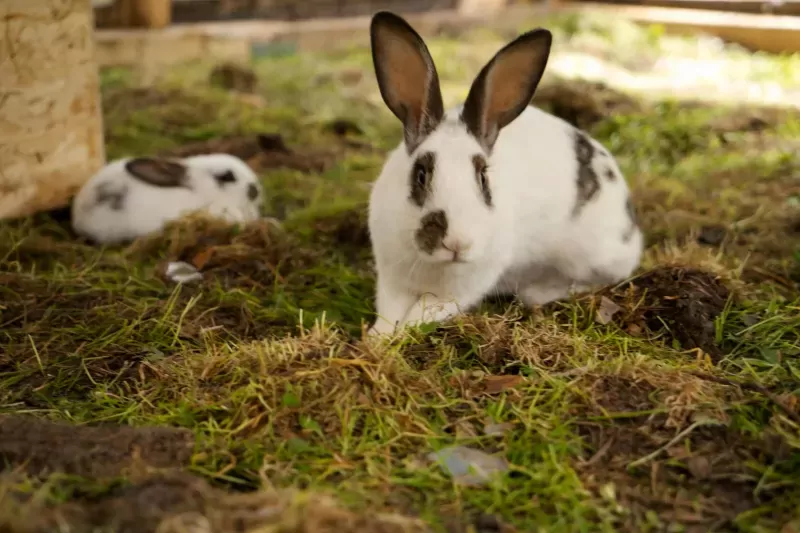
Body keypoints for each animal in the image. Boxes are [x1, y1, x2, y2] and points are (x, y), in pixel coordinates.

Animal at [368, 12, 644, 334]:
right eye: (421, 174)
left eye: (483, 177)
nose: (458, 243)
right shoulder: (392, 280)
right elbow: (390, 312)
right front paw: (377, 338)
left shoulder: (461, 289)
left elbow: (423, 312)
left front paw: (400, 334)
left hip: (591, 257)